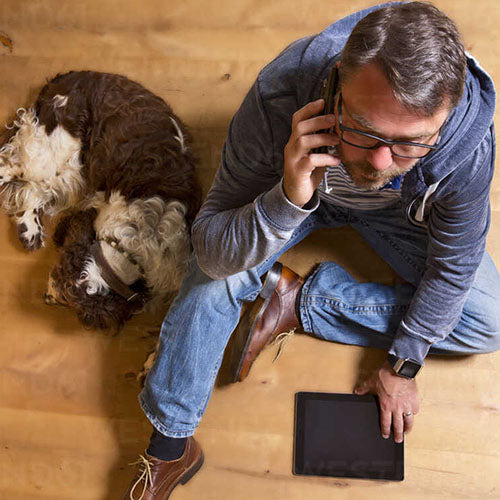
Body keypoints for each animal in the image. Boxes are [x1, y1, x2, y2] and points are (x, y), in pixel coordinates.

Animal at [0, 70, 199, 328]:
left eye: (66, 295)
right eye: (60, 277)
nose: (46, 297)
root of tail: (69, 76)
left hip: (71, 169)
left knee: (33, 189)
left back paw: (30, 231)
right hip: (53, 153)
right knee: (10, 167)